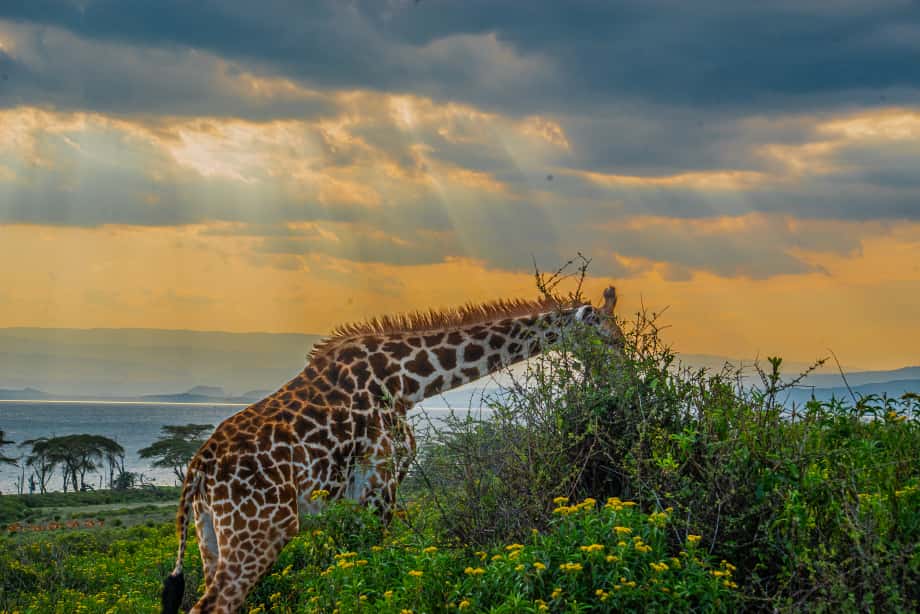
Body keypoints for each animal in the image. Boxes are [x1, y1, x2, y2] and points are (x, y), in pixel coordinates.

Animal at [161, 286, 623, 614]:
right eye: (612, 339)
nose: (630, 369)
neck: (408, 382)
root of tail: (197, 471)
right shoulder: (379, 485)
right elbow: (372, 576)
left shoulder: (354, 498)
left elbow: (344, 575)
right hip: (260, 530)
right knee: (212, 605)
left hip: (211, 536)